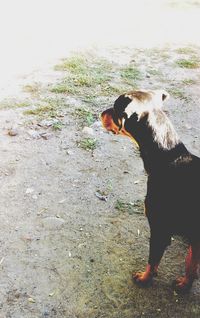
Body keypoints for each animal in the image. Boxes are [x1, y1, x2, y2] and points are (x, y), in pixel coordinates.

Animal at [101, 89, 200, 294]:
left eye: (114, 109)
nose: (100, 113)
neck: (169, 156)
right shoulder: (196, 239)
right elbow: (192, 262)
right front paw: (186, 284)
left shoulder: (159, 231)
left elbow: (152, 260)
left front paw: (145, 278)